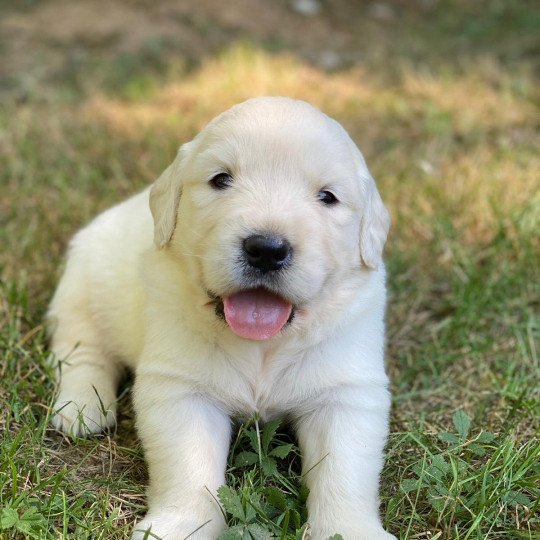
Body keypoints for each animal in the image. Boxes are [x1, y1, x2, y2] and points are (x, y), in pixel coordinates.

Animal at [48, 98, 394, 540]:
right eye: (221, 180)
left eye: (327, 197)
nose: (266, 249)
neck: (263, 345)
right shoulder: (181, 389)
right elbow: (187, 465)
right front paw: (181, 525)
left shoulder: (347, 390)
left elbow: (344, 469)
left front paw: (346, 530)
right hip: (81, 289)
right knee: (81, 350)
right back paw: (82, 406)